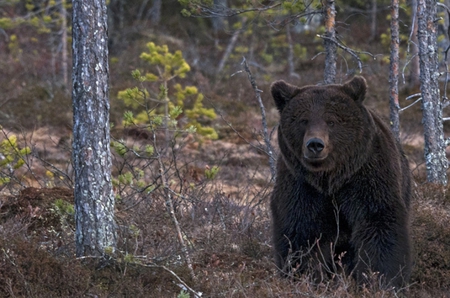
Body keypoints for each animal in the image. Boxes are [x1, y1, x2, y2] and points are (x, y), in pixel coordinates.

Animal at [268, 76, 414, 288]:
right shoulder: (301, 184)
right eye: (303, 120)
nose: (315, 144)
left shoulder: (367, 176)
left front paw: (380, 279)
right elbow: (300, 229)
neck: (331, 178)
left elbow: (379, 221)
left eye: (331, 121)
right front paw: (304, 275)